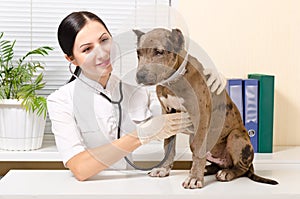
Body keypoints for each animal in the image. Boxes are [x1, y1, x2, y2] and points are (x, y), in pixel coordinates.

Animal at [134, 27, 278, 188]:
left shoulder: (201, 116)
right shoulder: (168, 115)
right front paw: (163, 169)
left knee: (241, 168)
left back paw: (226, 173)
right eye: (138, 53)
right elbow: (168, 147)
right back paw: (208, 169)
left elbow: (198, 151)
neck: (175, 81)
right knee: (217, 164)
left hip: (235, 136)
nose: (140, 76)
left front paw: (194, 178)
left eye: (159, 52)